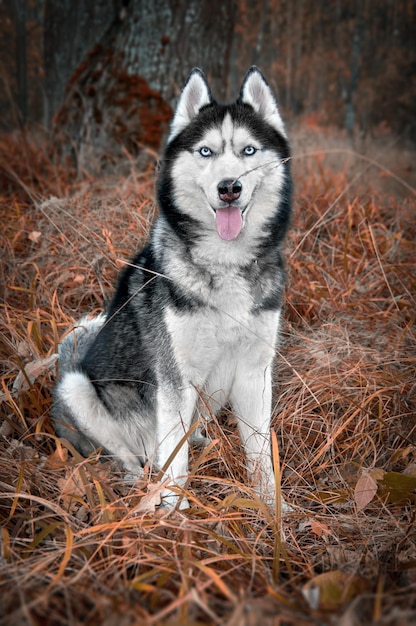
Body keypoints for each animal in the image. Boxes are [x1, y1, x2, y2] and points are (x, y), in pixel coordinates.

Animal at [52, 66, 292, 510]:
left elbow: (260, 454)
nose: (229, 187)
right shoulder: (176, 376)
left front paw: (273, 511)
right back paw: (138, 487)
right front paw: (175, 516)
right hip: (78, 389)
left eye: (249, 151)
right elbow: (175, 463)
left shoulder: (255, 372)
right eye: (206, 152)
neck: (224, 262)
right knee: (133, 458)